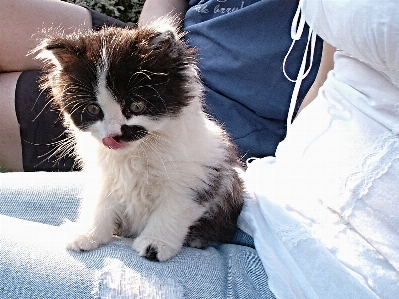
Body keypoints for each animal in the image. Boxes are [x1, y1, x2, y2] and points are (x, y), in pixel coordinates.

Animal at [36, 19, 245, 262]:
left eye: (136, 106)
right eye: (93, 109)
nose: (113, 135)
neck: (136, 152)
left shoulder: (198, 178)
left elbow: (171, 212)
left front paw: (155, 244)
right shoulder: (105, 177)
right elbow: (99, 204)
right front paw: (87, 234)